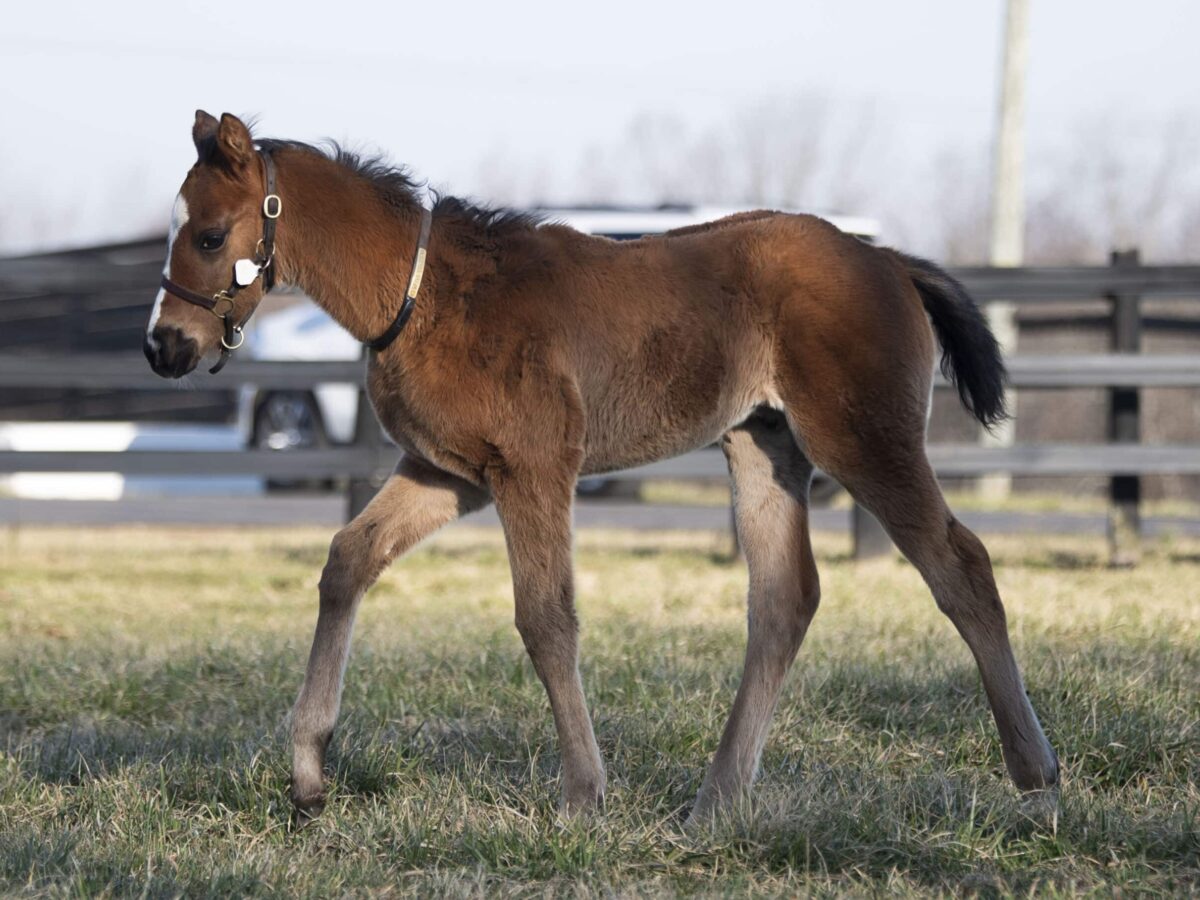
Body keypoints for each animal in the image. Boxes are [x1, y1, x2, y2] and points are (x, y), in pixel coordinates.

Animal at [145, 112, 1056, 825]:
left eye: (210, 235)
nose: (163, 346)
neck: (427, 294)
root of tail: (890, 259)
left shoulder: (534, 467)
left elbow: (547, 618)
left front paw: (584, 794)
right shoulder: (450, 474)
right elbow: (348, 562)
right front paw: (307, 773)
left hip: (864, 439)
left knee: (962, 566)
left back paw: (1036, 778)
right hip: (764, 446)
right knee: (784, 599)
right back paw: (716, 802)